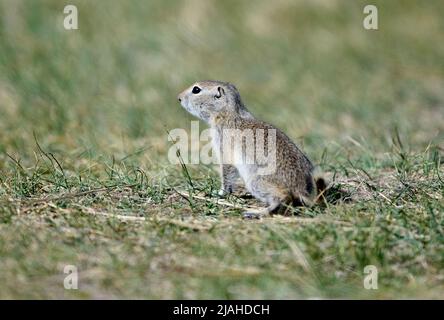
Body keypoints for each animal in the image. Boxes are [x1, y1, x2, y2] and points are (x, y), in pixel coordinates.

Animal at [177, 80, 326, 218]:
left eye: (196, 90)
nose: (179, 98)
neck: (228, 114)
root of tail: (301, 189)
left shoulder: (225, 149)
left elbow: (227, 174)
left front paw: (218, 193)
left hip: (255, 181)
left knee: (283, 197)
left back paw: (256, 213)